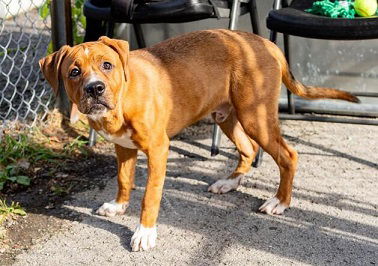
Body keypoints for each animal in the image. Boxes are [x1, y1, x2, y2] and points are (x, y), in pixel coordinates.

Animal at [39, 29, 358, 251]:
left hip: (255, 116)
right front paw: (119, 206)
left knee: (287, 155)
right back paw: (229, 182)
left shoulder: (158, 149)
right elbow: (123, 179)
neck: (122, 100)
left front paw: (144, 233)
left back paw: (279, 202)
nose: (95, 89)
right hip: (226, 115)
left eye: (107, 65)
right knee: (248, 148)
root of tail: (264, 43)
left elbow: (150, 196)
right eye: (74, 72)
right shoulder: (123, 148)